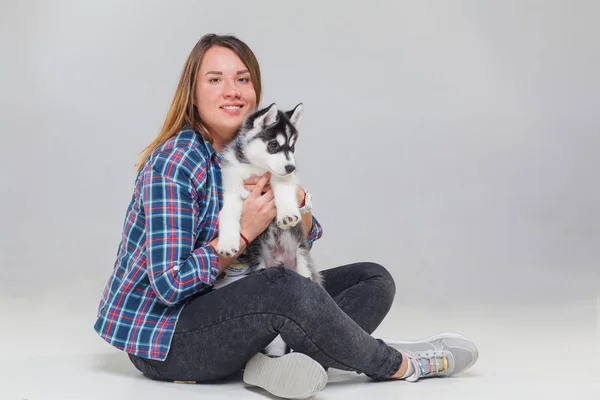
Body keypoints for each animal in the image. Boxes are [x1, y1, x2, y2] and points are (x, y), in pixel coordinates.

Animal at [213, 103, 322, 356]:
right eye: (273, 144)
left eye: (292, 147)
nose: (291, 165)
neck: (254, 167)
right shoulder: (231, 190)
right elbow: (227, 214)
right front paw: (227, 243)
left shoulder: (287, 179)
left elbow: (280, 184)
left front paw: (287, 214)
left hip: (304, 272)